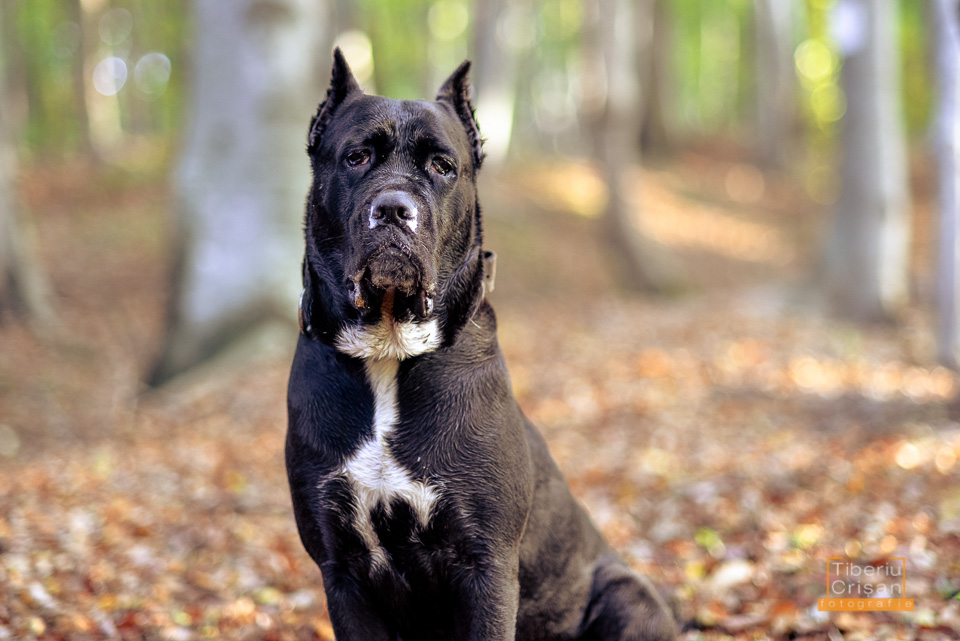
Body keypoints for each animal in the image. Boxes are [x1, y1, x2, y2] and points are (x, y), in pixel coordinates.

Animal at [284, 51, 676, 640]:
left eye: (442, 167)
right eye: (356, 157)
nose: (394, 208)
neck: (388, 354)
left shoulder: (485, 564)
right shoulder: (342, 570)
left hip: (627, 594)